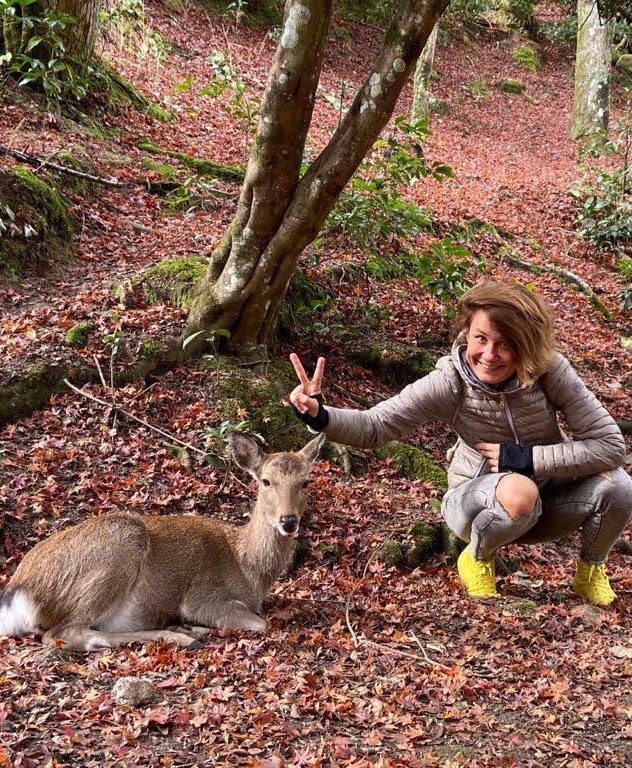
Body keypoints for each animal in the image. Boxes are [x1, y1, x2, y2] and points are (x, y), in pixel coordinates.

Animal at [0, 428, 326, 652]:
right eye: (266, 481)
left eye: (305, 481)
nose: (288, 521)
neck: (250, 569)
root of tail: (18, 590)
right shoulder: (202, 596)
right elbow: (261, 623)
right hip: (118, 549)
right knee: (63, 633)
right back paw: (179, 635)